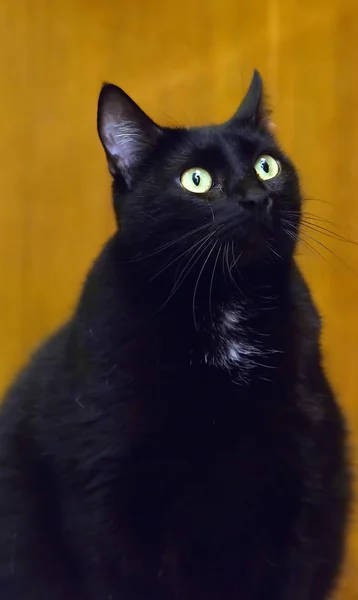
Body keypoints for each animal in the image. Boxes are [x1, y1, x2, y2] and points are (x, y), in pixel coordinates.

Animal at [0, 71, 352, 600]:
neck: (222, 309)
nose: (256, 197)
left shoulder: (306, 473)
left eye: (266, 166)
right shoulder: (107, 491)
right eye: (196, 180)